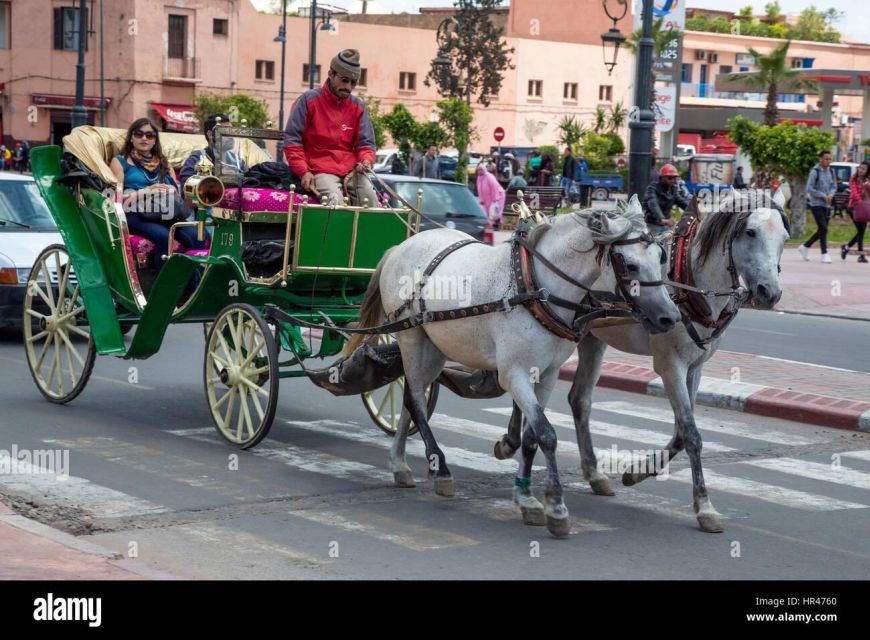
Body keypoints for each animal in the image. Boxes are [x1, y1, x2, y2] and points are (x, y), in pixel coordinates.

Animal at [344, 198, 684, 536]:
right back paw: (439, 468)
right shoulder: (514, 375)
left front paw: (526, 497)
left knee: (410, 397)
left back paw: (399, 464)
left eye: (660, 257)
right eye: (630, 264)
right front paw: (555, 506)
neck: (535, 288)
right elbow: (547, 434)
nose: (670, 317)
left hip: (435, 346)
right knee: (415, 398)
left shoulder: (546, 375)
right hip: (411, 337)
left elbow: (532, 435)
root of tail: (400, 247)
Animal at [498, 188, 792, 532]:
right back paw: (510, 441)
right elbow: (691, 434)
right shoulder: (670, 365)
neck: (690, 281)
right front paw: (704, 506)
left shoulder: (695, 367)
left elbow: (681, 431)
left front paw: (638, 472)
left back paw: (593, 473)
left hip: (591, 339)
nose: (770, 292)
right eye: (750, 232)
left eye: (785, 237)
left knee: (579, 400)